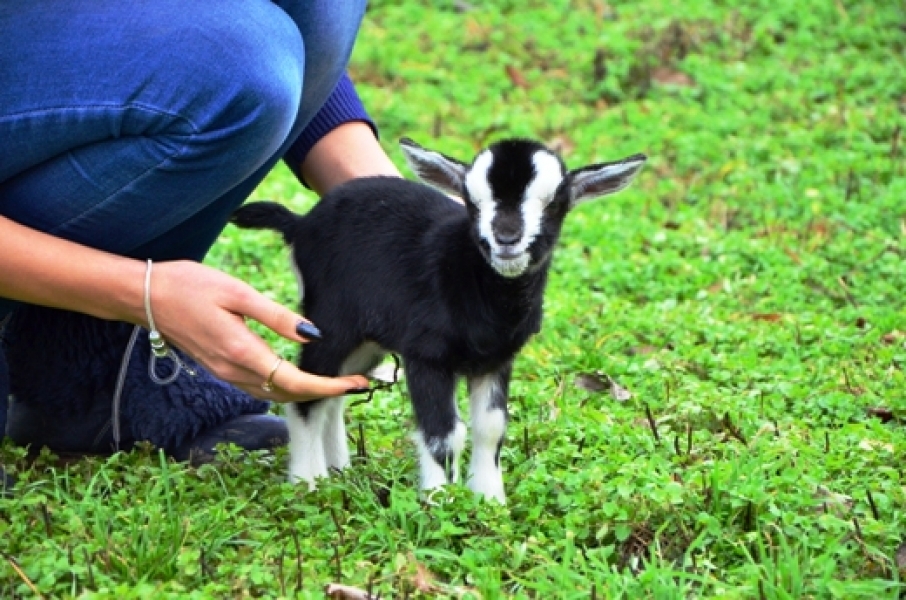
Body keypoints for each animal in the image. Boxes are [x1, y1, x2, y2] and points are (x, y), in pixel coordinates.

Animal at [231, 137, 644, 502]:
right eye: (473, 201)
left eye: (555, 202)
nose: (506, 237)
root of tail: (300, 224)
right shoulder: (426, 355)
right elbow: (443, 434)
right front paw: (439, 501)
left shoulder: (495, 361)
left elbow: (491, 428)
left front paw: (490, 499)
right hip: (327, 324)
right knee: (306, 394)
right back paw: (308, 483)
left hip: (365, 341)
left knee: (332, 393)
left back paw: (338, 472)